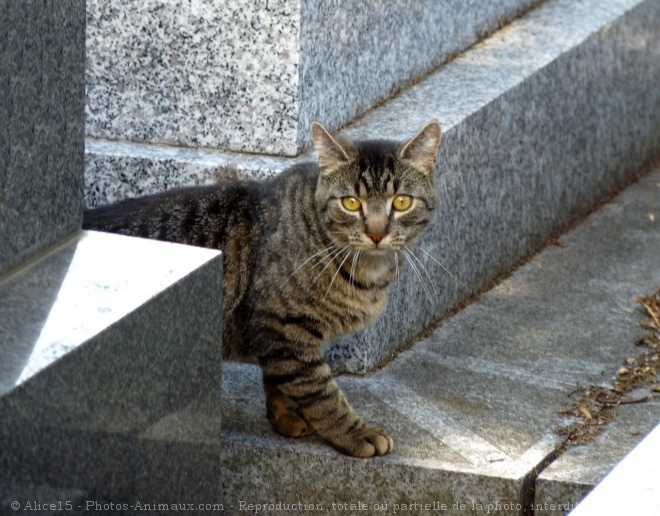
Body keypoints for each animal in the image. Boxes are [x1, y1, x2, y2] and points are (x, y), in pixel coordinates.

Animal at [84, 120, 444, 456]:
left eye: (402, 201)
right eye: (352, 203)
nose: (377, 233)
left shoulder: (281, 333)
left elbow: (279, 378)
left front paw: (285, 417)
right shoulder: (280, 325)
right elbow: (319, 390)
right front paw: (354, 432)